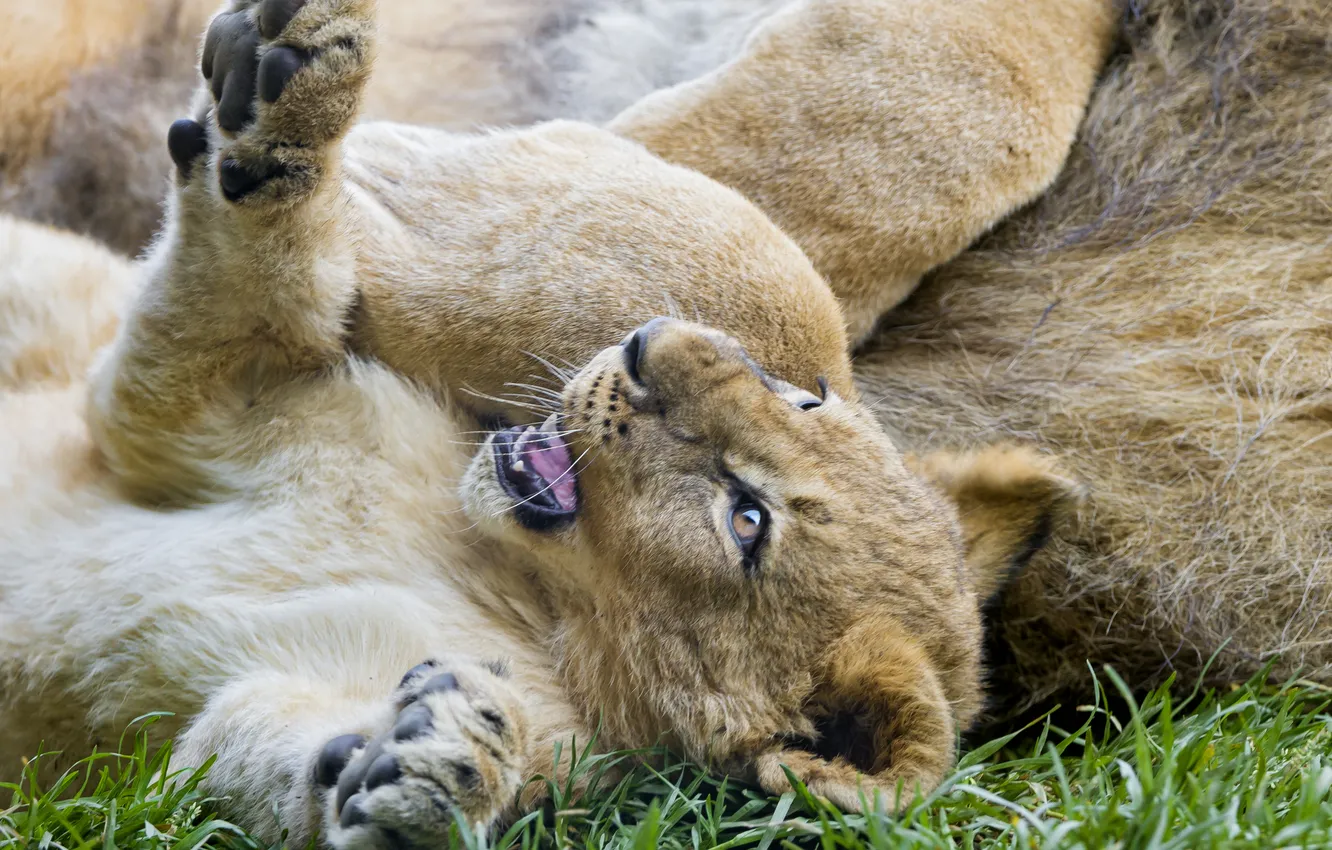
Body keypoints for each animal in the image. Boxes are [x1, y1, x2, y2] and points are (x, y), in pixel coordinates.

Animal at [0, 0, 1105, 844]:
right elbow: (255, 258)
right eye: (805, 396)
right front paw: (293, 83)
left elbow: (250, 764)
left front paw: (438, 771)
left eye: (748, 523)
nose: (648, 344)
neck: (516, 587)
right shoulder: (206, 403)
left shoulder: (201, 440)